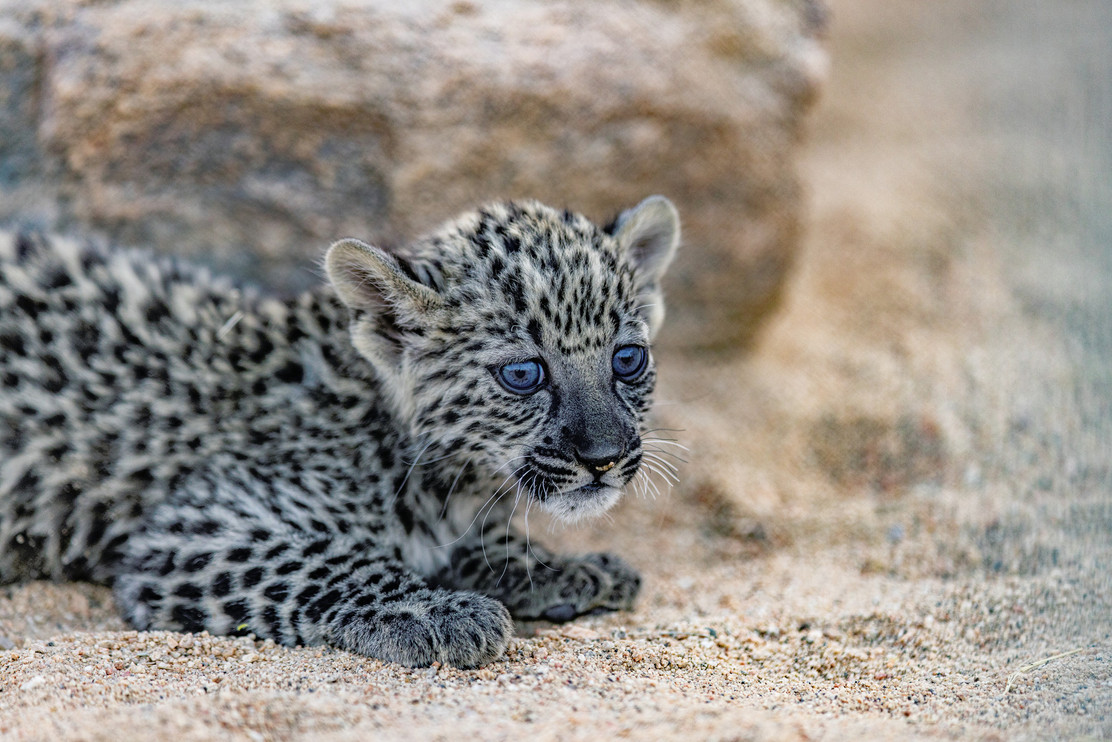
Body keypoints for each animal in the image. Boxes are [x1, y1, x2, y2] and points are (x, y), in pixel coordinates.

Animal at [0, 196, 681, 668]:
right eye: (522, 374)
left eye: (627, 359)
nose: (605, 457)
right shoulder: (197, 527)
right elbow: (328, 560)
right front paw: (433, 609)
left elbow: (487, 544)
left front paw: (567, 568)